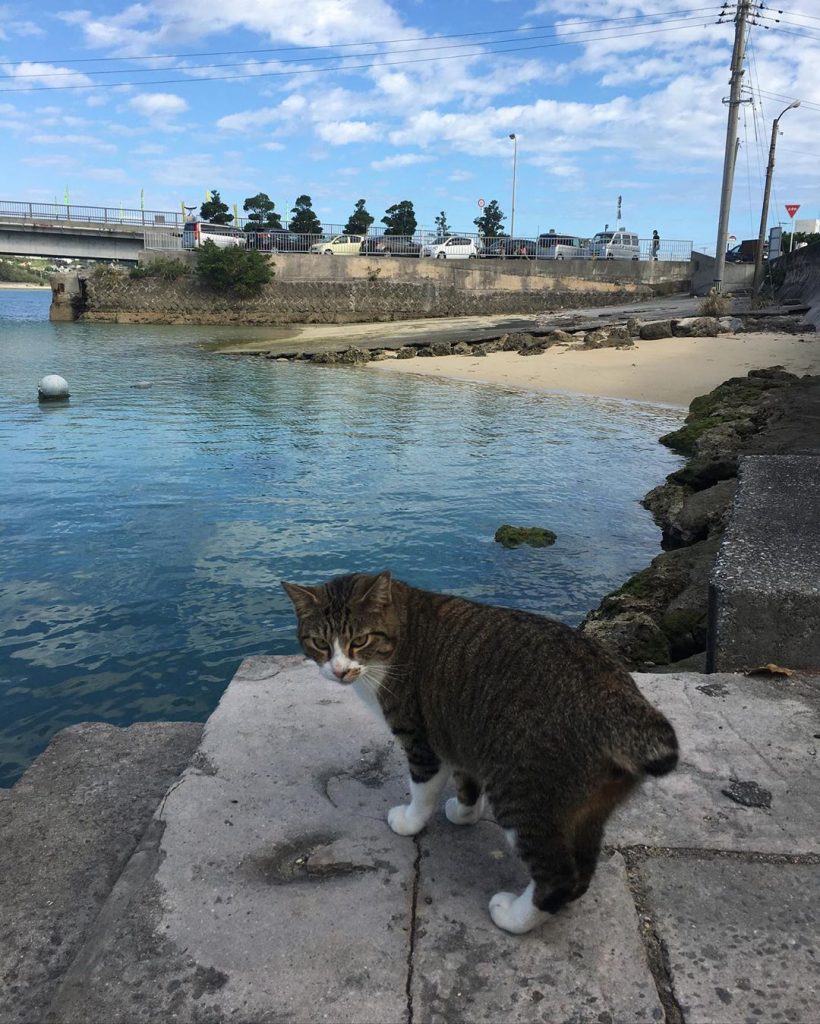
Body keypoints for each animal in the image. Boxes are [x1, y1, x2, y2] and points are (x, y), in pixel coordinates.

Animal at [282, 571, 678, 935]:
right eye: (320, 642)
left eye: (359, 640)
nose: (339, 670)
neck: (401, 629)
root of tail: (624, 704)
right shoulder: (461, 736)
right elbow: (467, 785)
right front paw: (463, 814)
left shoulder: (421, 739)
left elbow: (422, 790)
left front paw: (409, 821)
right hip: (584, 809)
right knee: (581, 872)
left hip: (522, 795)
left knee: (557, 877)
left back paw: (513, 917)